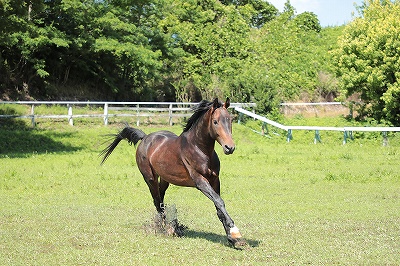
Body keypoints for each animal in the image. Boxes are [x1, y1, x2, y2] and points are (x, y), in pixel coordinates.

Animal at [100, 98, 244, 247]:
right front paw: (235, 232)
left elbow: (219, 207)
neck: (200, 149)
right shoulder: (200, 181)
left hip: (165, 179)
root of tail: (145, 138)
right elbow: (219, 201)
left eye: (230, 120)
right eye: (215, 121)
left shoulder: (215, 180)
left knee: (161, 200)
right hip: (150, 178)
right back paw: (164, 229)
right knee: (157, 201)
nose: (230, 147)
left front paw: (232, 239)